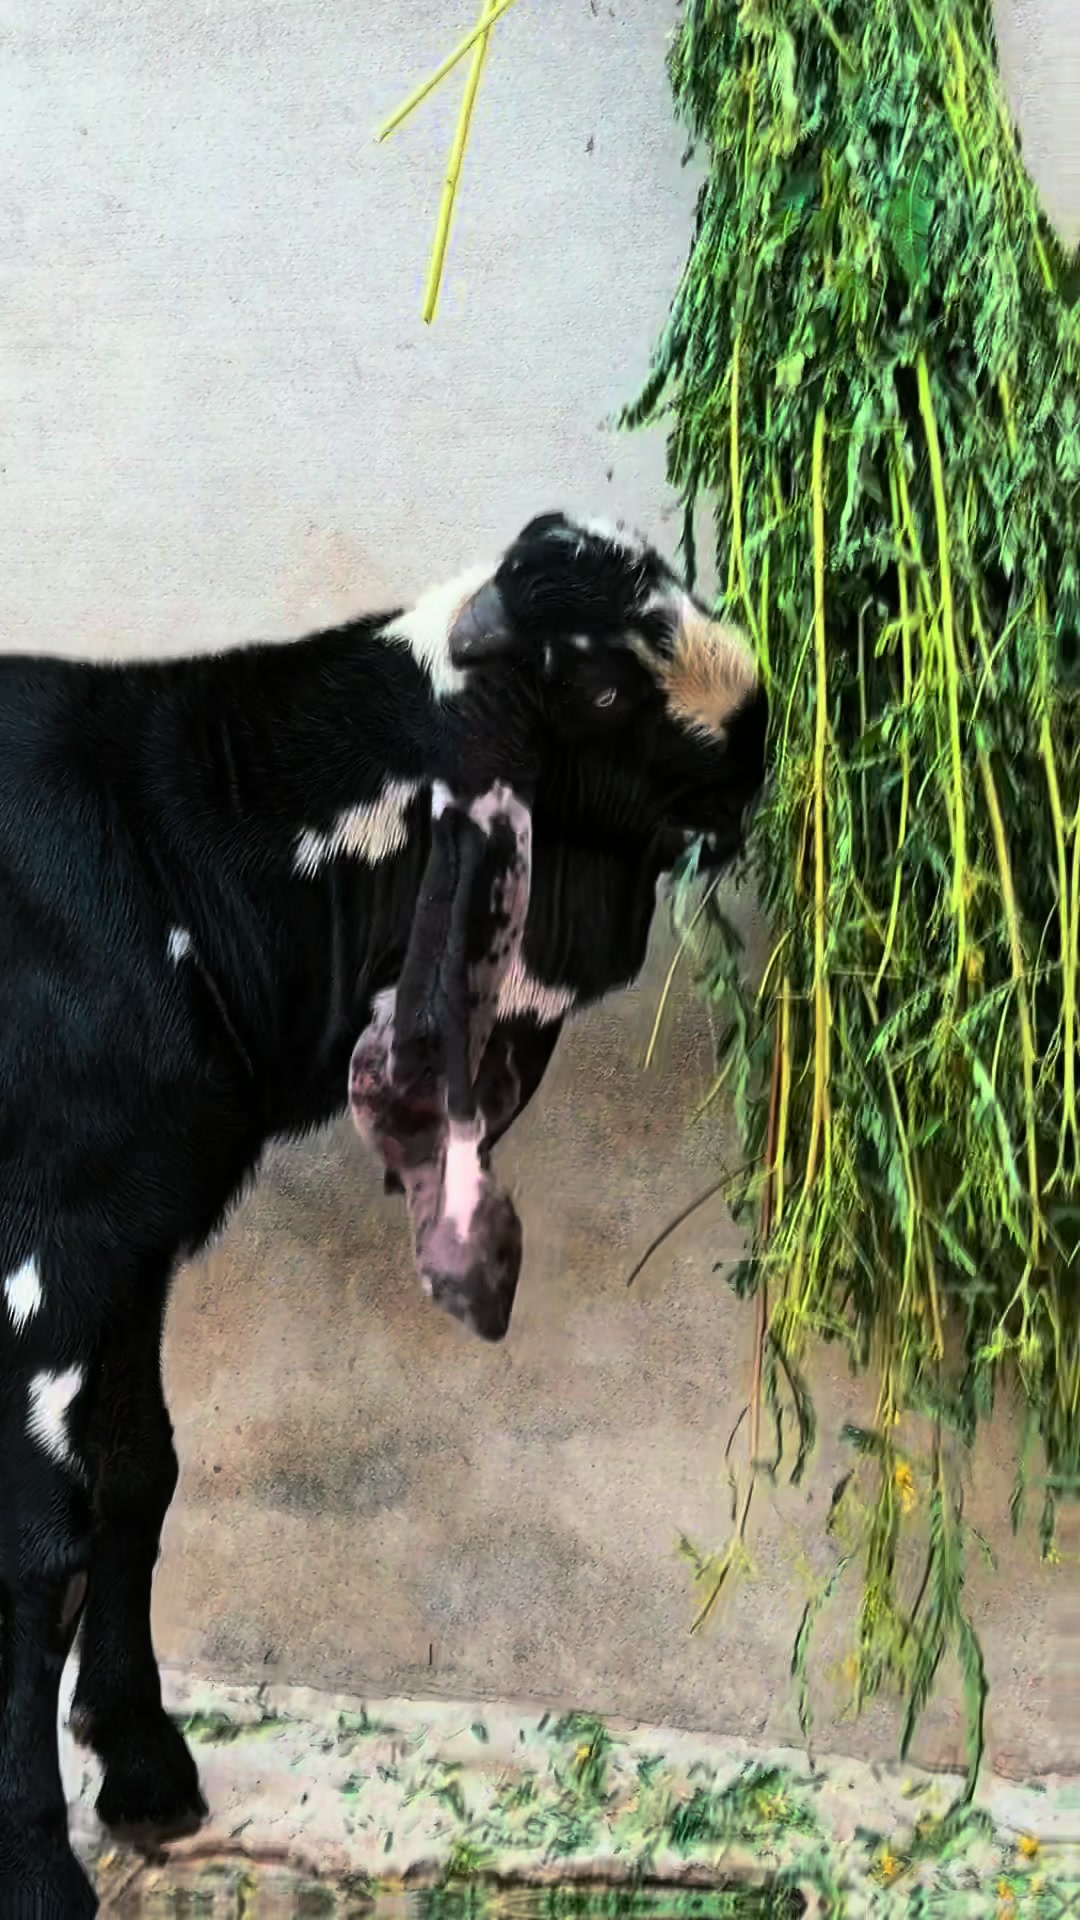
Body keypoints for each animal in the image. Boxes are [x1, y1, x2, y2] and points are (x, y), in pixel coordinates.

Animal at [0, 511, 767, 1915]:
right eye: (603, 686)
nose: (762, 741)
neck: (173, 848)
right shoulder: (46, 1239)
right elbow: (42, 1537)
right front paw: (31, 1858)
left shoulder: (138, 1228)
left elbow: (140, 1473)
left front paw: (144, 1770)